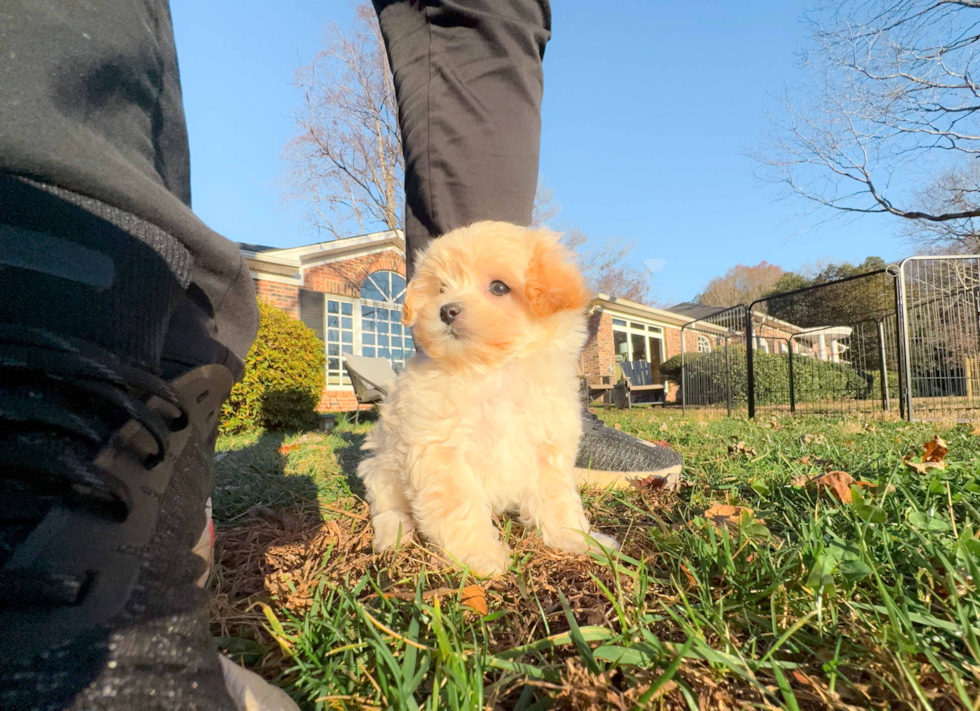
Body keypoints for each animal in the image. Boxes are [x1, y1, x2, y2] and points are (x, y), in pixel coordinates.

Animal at [360, 222, 620, 580]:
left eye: (499, 287)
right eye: (441, 289)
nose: (446, 310)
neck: (491, 371)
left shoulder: (547, 448)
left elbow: (558, 500)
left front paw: (577, 540)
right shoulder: (441, 453)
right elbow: (459, 506)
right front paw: (479, 557)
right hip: (381, 467)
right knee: (388, 508)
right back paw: (393, 535)